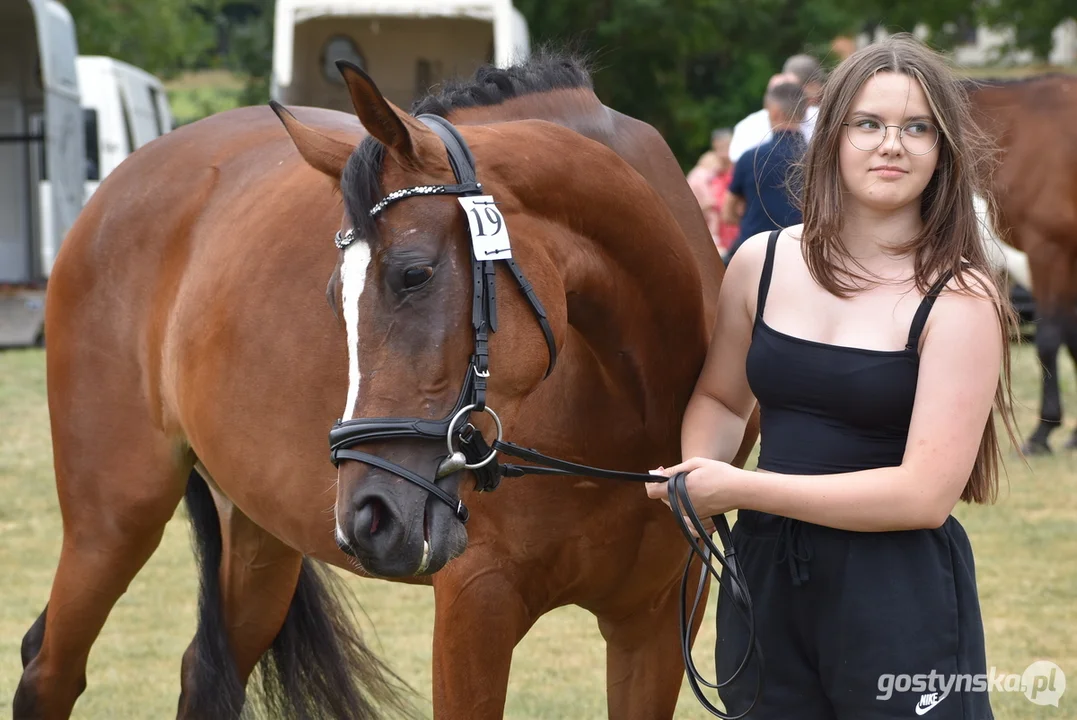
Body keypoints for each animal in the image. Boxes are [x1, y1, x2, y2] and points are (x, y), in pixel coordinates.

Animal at [14, 56, 758, 718]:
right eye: (333, 293)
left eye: (413, 274)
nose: (368, 516)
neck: (629, 397)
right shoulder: (475, 602)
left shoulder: (654, 622)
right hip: (114, 518)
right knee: (49, 670)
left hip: (256, 542)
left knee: (206, 673)